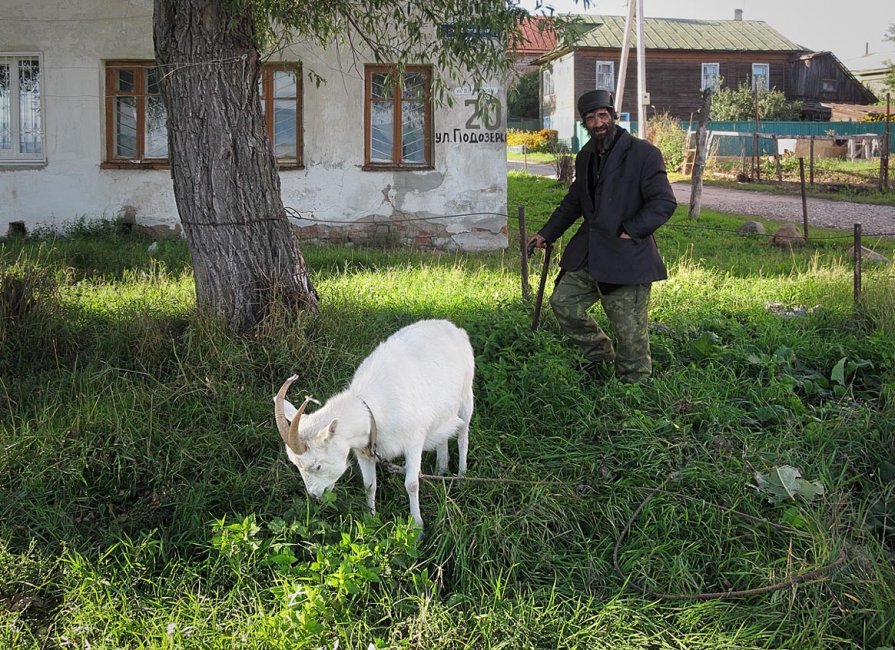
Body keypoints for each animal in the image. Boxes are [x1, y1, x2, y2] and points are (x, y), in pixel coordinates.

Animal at [274, 318, 476, 528]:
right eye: (296, 465)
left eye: (318, 466)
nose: (314, 496)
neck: (372, 411)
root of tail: (452, 327)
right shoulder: (364, 450)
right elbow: (369, 485)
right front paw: (370, 519)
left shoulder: (414, 441)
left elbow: (411, 484)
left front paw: (417, 526)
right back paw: (441, 469)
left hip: (466, 397)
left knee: (463, 437)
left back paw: (461, 477)